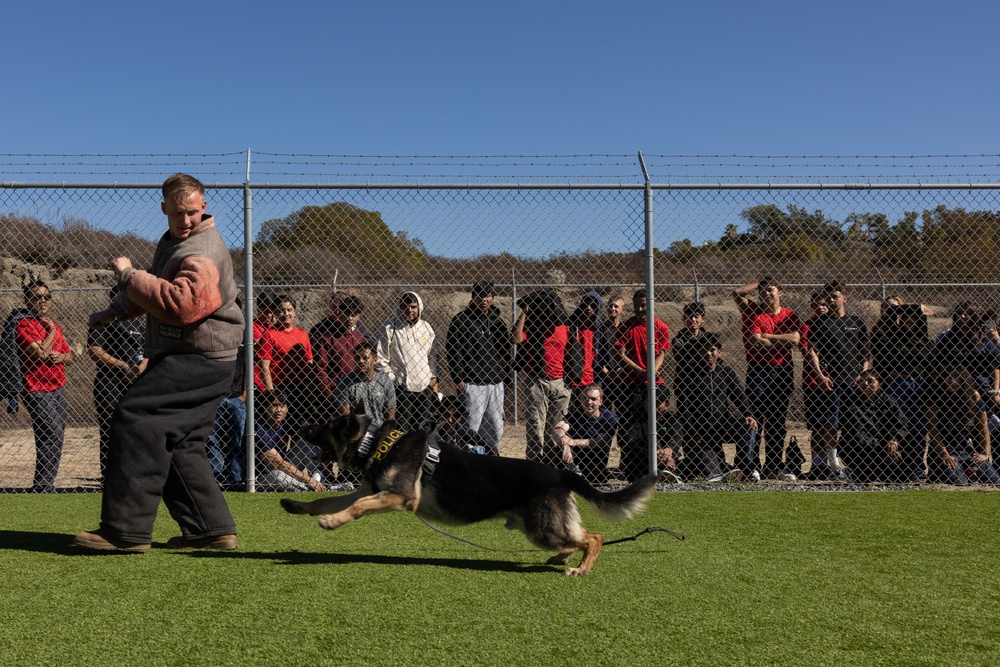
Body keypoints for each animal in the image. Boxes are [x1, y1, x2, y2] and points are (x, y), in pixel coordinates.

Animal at [282, 410, 656, 576]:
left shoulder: (400, 498)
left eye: (325, 426)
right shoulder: (371, 491)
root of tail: (561, 472)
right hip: (542, 527)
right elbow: (327, 499)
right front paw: (297, 505)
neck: (377, 443)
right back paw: (563, 559)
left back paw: (580, 568)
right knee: (579, 536)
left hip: (541, 529)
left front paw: (331, 522)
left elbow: (358, 506)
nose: (299, 426)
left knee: (595, 537)